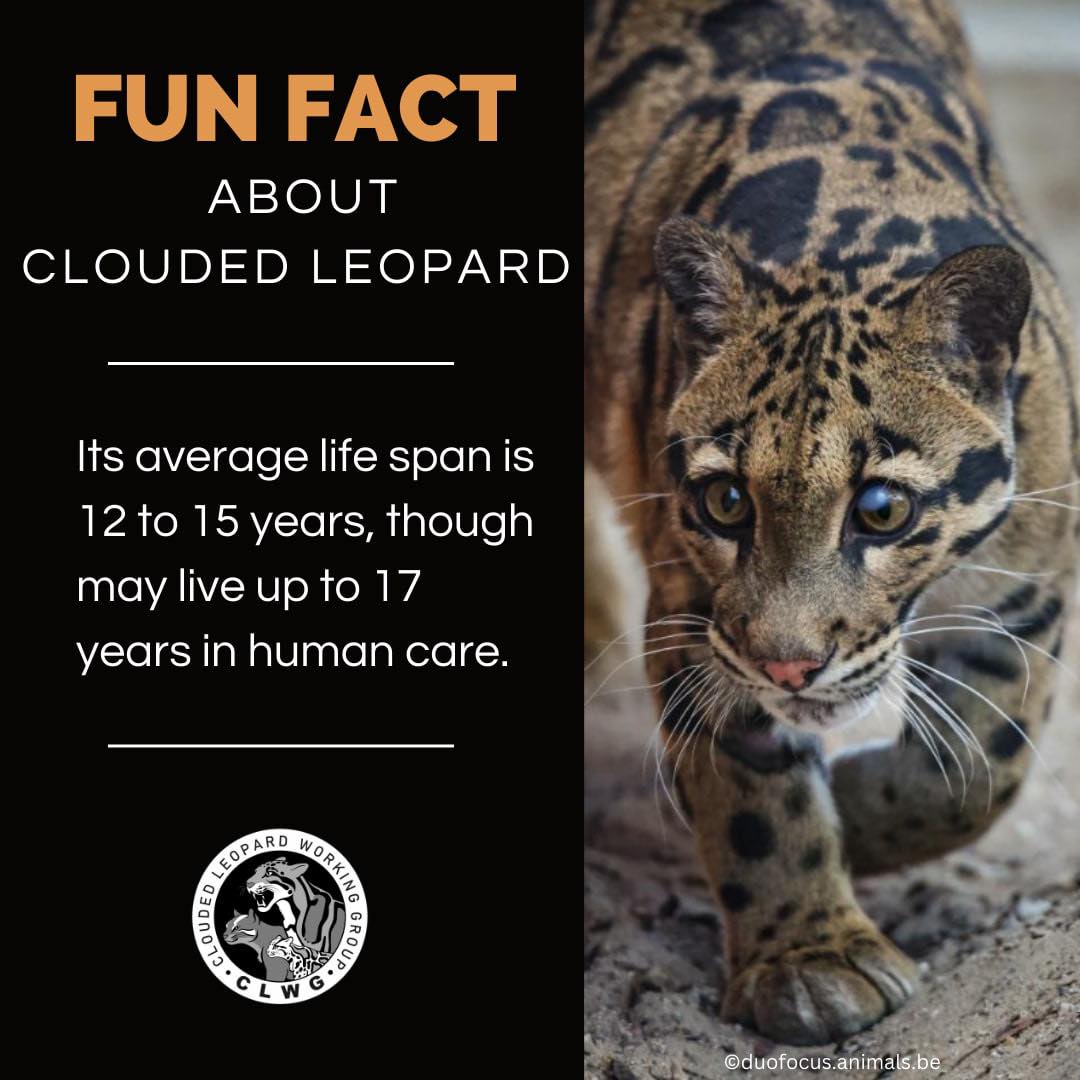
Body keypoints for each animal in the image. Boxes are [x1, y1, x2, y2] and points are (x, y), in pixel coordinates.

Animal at [585, 0, 1079, 1046]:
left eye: (882, 511)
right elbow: (752, 796)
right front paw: (810, 961)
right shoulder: (699, 612)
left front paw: (858, 803)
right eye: (726, 501)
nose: (788, 668)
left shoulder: (1026, 592)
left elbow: (986, 762)